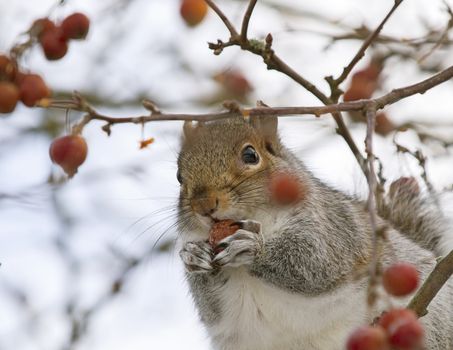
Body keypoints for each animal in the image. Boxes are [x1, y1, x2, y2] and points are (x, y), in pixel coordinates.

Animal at [175, 115, 450, 350]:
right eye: (179, 176)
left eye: (250, 155)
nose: (204, 206)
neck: (258, 220)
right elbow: (211, 310)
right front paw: (193, 255)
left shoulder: (333, 229)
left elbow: (315, 263)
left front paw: (252, 247)